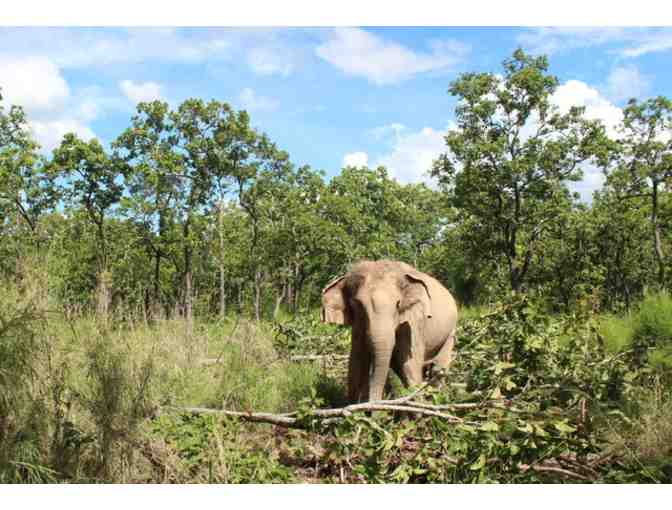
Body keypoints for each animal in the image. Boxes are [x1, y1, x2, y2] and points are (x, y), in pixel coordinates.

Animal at [321, 259, 458, 403]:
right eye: (358, 304)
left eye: (398, 303)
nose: (373, 403)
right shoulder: (358, 326)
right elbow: (357, 360)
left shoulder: (413, 321)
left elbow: (409, 363)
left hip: (450, 332)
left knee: (438, 369)